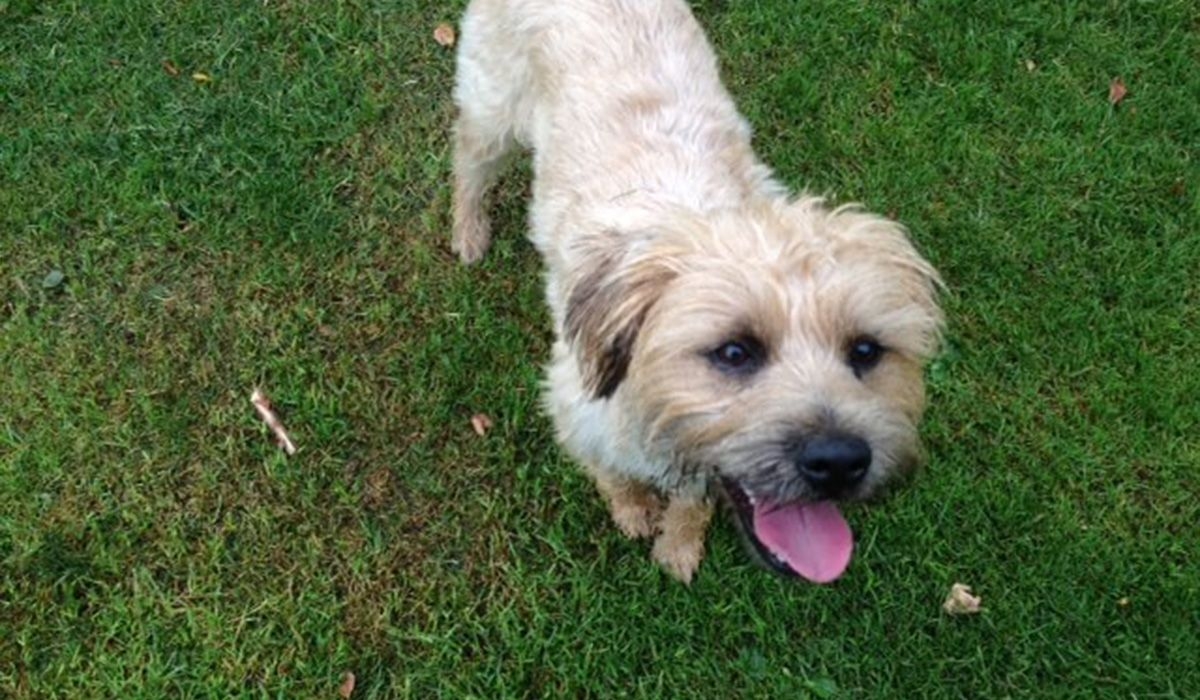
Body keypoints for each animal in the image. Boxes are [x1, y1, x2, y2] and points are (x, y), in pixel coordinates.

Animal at [446, 0, 940, 585]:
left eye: (865, 350)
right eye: (734, 352)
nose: (839, 461)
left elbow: (692, 499)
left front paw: (678, 545)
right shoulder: (575, 411)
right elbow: (613, 475)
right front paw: (633, 510)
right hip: (493, 112)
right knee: (467, 161)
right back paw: (468, 229)